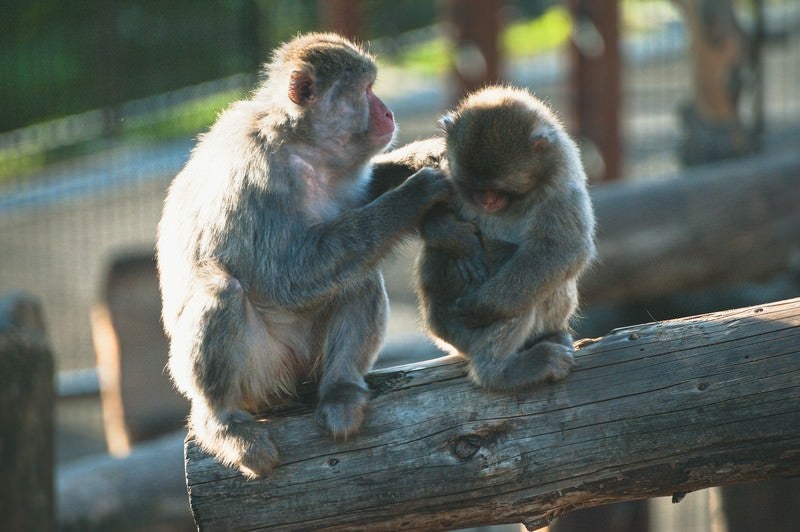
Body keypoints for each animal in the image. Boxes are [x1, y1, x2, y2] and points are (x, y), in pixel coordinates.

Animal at [156, 33, 450, 478]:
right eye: (366, 90)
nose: (387, 111)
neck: (302, 145)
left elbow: (362, 204)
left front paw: (424, 157)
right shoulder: (256, 178)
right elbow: (286, 277)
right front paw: (414, 194)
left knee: (358, 273)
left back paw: (340, 388)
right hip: (260, 372)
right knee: (223, 290)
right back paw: (224, 423)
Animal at [418, 85, 592, 388]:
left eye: (499, 189)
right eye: (476, 188)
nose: (486, 201)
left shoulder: (562, 182)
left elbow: (563, 249)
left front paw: (481, 306)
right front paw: (455, 239)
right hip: (456, 332)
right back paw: (498, 371)